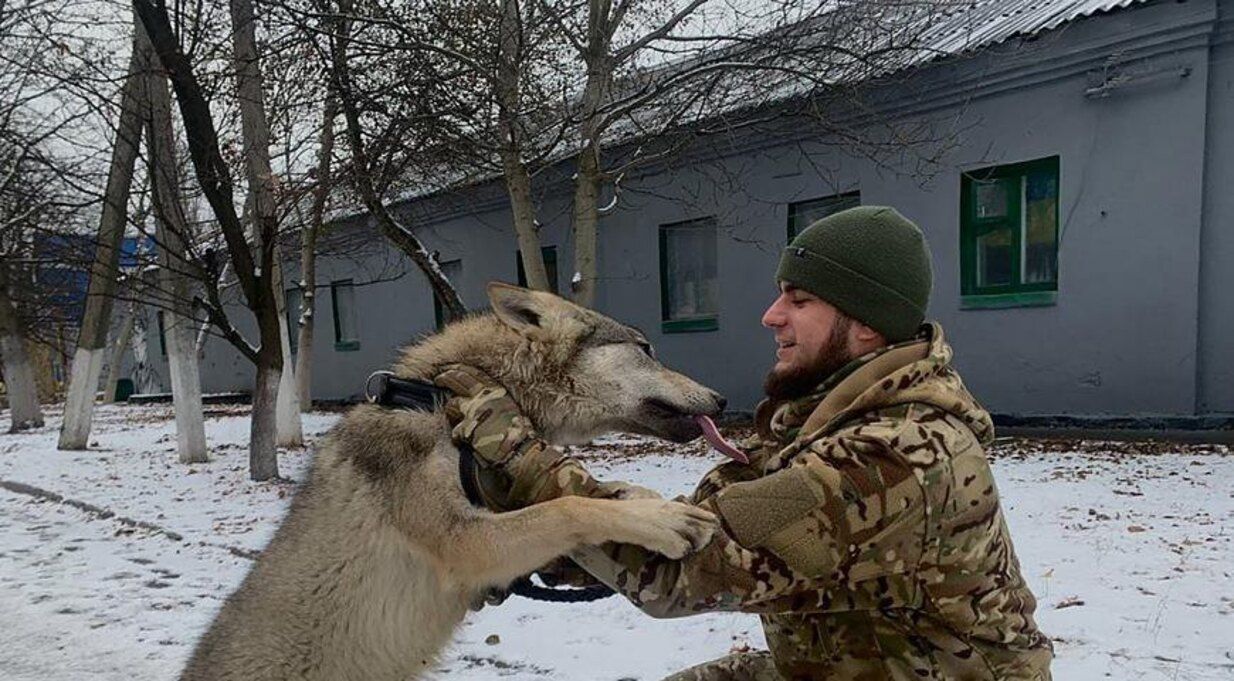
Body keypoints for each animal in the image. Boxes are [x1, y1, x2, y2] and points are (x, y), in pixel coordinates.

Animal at [181, 282, 720, 681]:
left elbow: (584, 502)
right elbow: (568, 507)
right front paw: (665, 518)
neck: (438, 402)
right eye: (647, 349)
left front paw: (646, 500)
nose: (719, 399)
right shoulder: (466, 544)